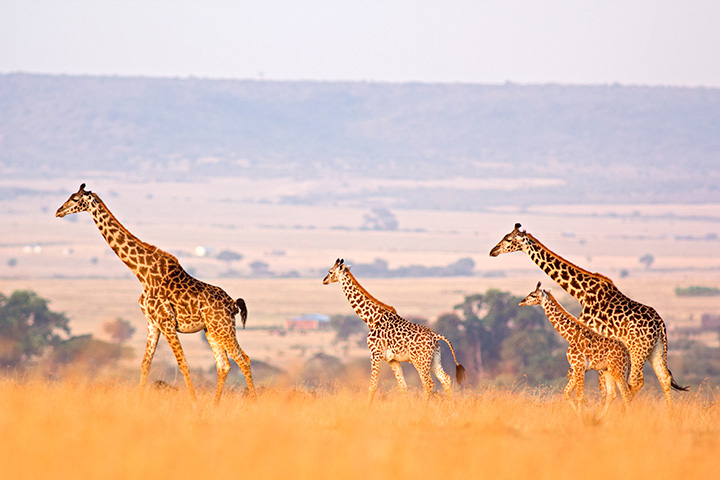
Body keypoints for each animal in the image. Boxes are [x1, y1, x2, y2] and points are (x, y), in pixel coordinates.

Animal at [55, 183, 255, 404]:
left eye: (75, 199)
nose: (58, 211)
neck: (142, 273)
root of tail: (232, 303)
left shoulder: (166, 321)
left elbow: (182, 363)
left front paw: (194, 404)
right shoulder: (152, 322)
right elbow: (145, 363)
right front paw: (139, 402)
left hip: (223, 328)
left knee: (243, 360)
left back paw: (253, 403)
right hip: (211, 330)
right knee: (224, 364)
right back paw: (215, 406)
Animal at [322, 259, 467, 404]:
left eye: (330, 271)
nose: (324, 280)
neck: (371, 319)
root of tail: (435, 335)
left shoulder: (375, 354)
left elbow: (372, 386)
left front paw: (367, 408)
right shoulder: (392, 360)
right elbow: (402, 386)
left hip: (420, 361)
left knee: (428, 383)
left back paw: (424, 409)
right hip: (434, 359)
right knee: (445, 379)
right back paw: (452, 407)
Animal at [520, 282, 631, 416]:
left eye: (533, 295)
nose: (521, 302)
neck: (570, 336)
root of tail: (627, 353)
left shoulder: (579, 366)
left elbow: (579, 395)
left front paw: (581, 417)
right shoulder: (576, 367)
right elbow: (567, 392)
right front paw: (578, 415)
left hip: (619, 369)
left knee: (625, 393)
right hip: (608, 370)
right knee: (613, 393)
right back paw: (601, 416)